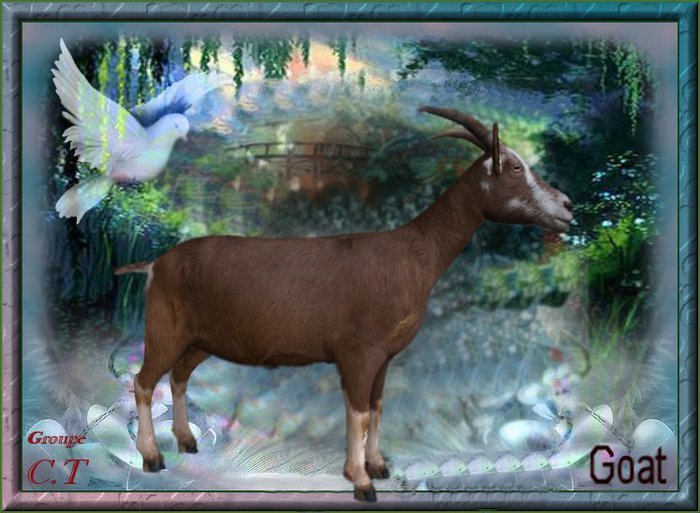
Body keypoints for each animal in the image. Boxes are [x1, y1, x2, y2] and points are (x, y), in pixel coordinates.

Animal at [115, 107, 573, 502]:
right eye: (514, 167)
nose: (567, 206)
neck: (414, 254)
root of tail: (156, 263)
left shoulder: (384, 357)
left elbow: (377, 408)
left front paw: (379, 466)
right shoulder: (358, 352)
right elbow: (358, 412)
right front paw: (361, 481)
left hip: (200, 339)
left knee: (179, 376)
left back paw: (187, 440)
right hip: (164, 328)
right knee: (144, 380)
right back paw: (153, 457)